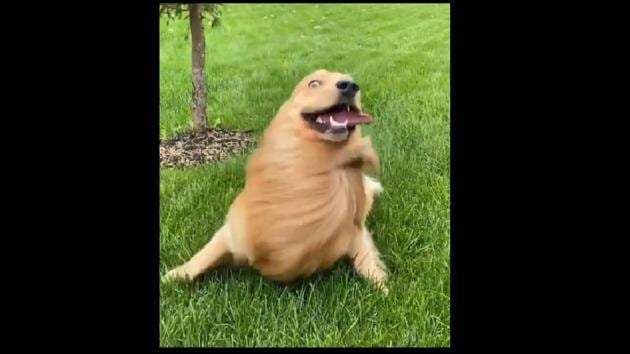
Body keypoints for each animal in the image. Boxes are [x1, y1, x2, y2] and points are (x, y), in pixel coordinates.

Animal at [163, 68, 390, 294]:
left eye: (351, 81)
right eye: (314, 83)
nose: (350, 86)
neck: (319, 168)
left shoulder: (355, 231)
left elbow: (366, 261)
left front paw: (382, 287)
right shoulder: (233, 231)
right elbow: (201, 258)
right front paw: (173, 275)